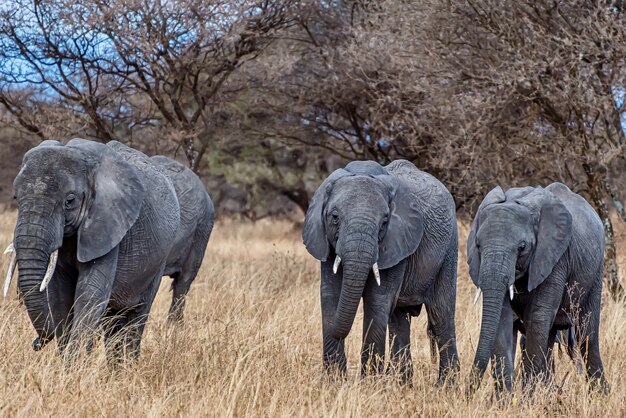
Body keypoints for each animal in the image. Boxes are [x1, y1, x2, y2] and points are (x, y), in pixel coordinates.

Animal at [4, 139, 214, 360]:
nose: (36, 343)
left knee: (156, 300)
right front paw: (68, 363)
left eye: (69, 201)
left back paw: (134, 361)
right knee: (114, 318)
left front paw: (76, 364)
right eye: (16, 197)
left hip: (190, 237)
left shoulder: (110, 227)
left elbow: (90, 295)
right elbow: (60, 296)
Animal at [302, 158, 458, 384]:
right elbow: (330, 295)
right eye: (334, 217)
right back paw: (403, 385)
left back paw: (446, 387)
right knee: (399, 320)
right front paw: (334, 382)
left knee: (441, 314)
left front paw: (368, 384)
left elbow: (377, 300)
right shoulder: (326, 242)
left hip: (449, 248)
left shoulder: (395, 242)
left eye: (384, 222)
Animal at [466, 181, 608, 394]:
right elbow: (502, 318)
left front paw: (525, 398)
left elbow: (538, 318)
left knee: (587, 335)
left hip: (595, 272)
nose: (466, 391)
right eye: (478, 245)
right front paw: (507, 399)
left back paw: (600, 395)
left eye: (522, 247)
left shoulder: (555, 257)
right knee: (550, 335)